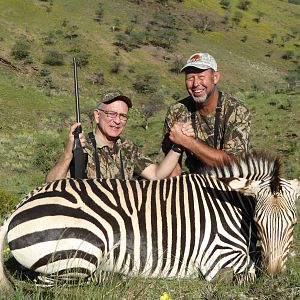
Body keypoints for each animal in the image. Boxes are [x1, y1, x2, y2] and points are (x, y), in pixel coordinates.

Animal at [0, 152, 298, 290]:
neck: (230, 205)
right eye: (257, 223)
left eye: (293, 225)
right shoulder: (218, 257)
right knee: (52, 283)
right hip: (80, 247)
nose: (274, 277)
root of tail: (20, 205)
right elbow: (247, 273)